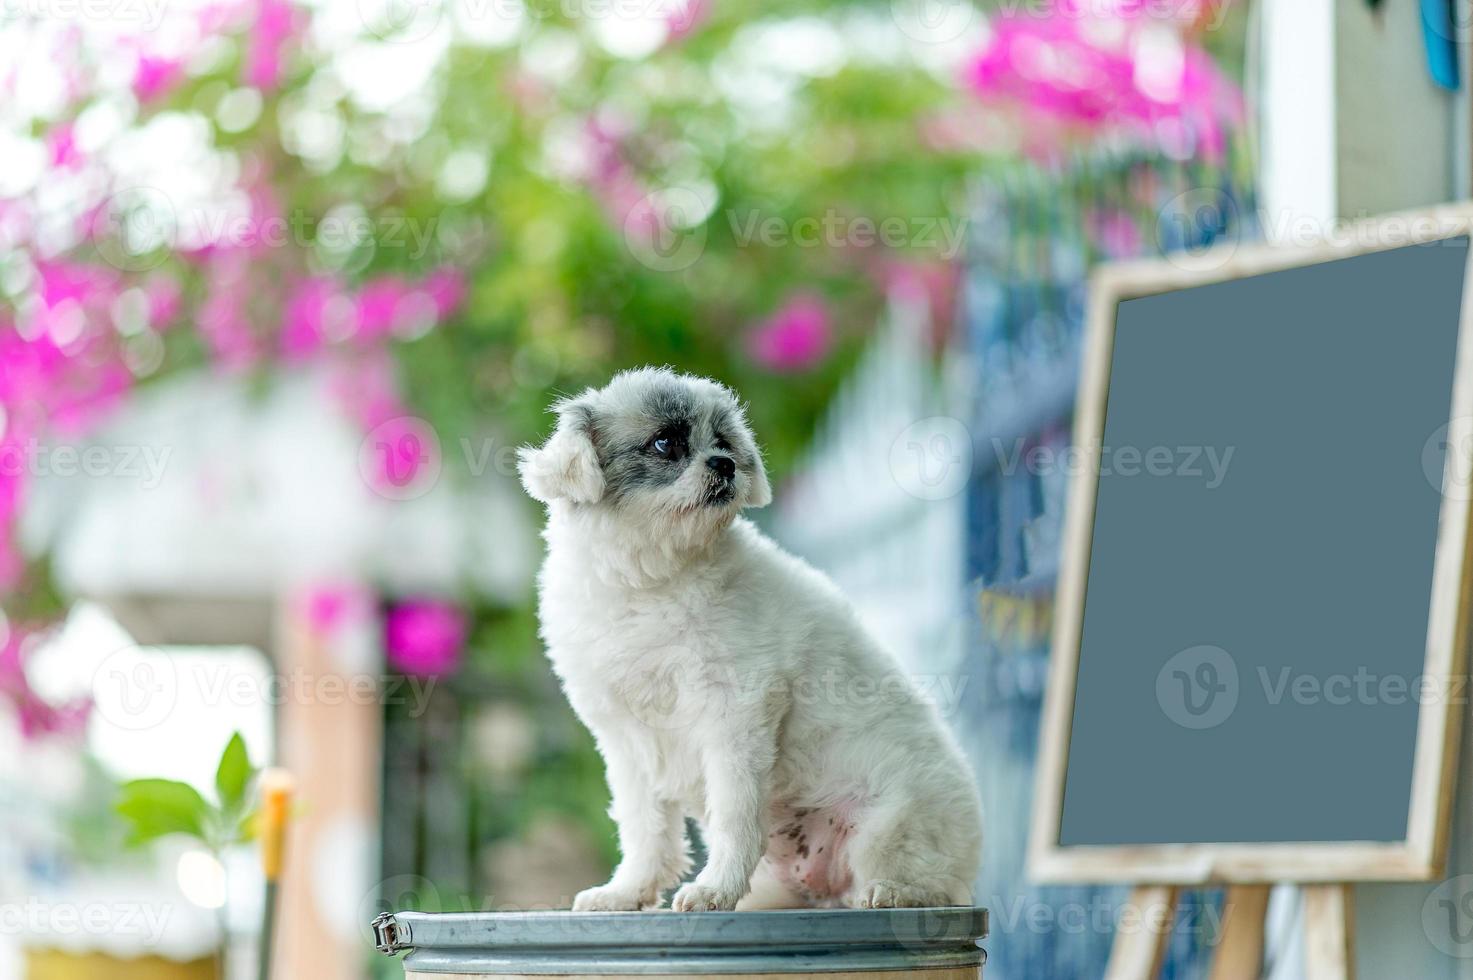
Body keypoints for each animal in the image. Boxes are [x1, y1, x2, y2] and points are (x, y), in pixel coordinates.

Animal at [518, 366, 978, 907]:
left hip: (888, 832)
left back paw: (897, 891)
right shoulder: (626, 741)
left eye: (723, 442)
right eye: (665, 443)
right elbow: (645, 829)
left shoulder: (735, 718)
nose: (725, 464)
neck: (652, 581)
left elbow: (734, 817)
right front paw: (627, 891)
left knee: (931, 887)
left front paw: (715, 888)